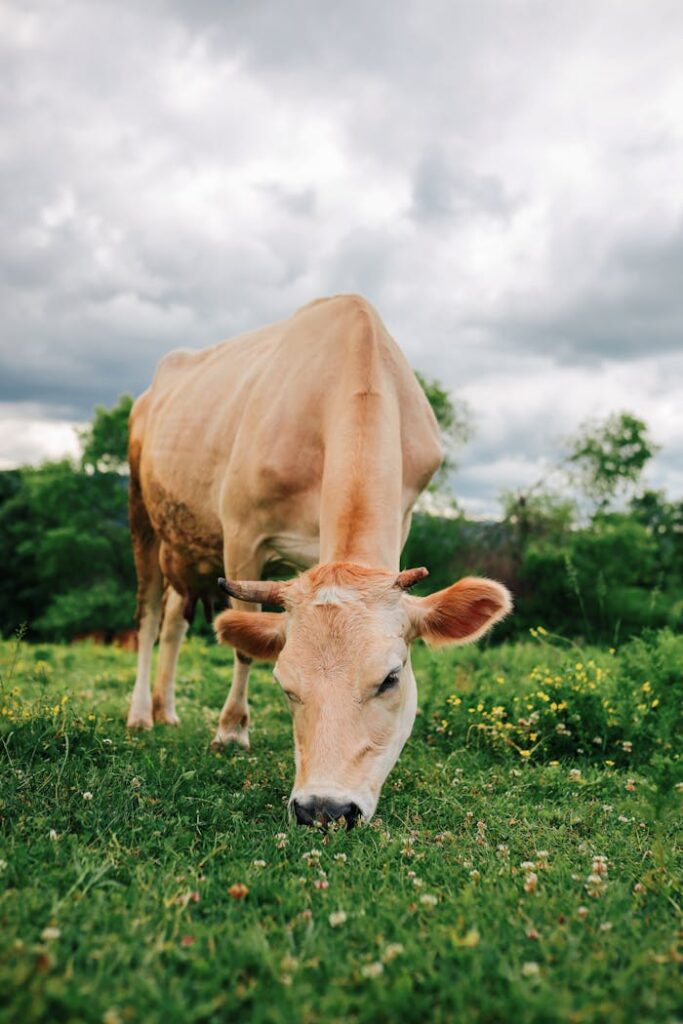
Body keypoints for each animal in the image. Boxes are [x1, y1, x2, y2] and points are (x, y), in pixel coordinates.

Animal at [126, 294, 511, 826]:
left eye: (391, 679)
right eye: (285, 685)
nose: (324, 809)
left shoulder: (402, 519)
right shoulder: (242, 534)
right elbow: (244, 645)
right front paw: (231, 729)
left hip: (186, 546)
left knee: (173, 620)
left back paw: (167, 709)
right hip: (143, 515)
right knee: (147, 614)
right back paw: (142, 713)